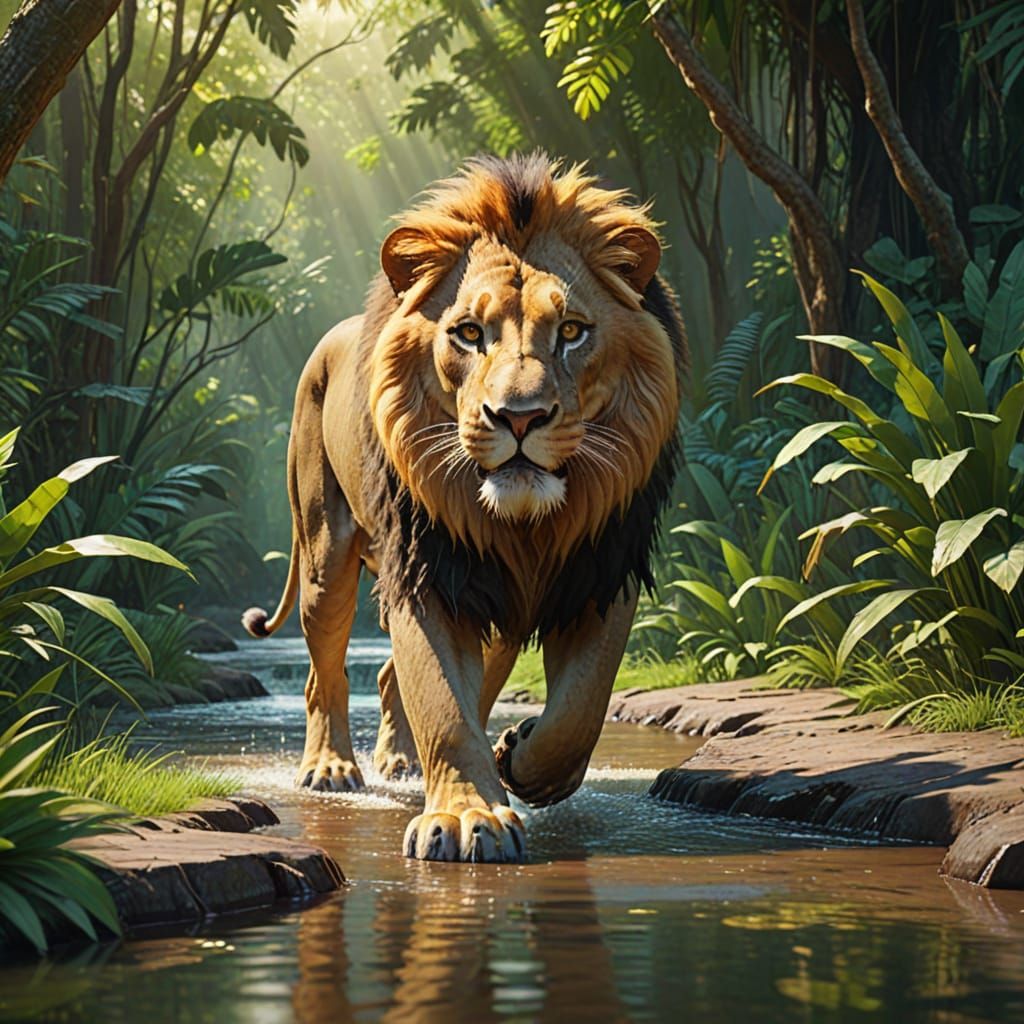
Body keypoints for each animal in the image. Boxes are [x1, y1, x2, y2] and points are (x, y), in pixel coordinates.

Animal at [242, 153, 687, 864]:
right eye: (469, 333)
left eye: (571, 332)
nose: (519, 417)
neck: (526, 527)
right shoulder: (432, 572)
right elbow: (443, 704)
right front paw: (465, 817)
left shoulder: (598, 570)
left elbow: (580, 709)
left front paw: (522, 760)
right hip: (324, 556)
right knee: (324, 675)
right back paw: (331, 769)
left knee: (393, 677)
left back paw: (404, 763)